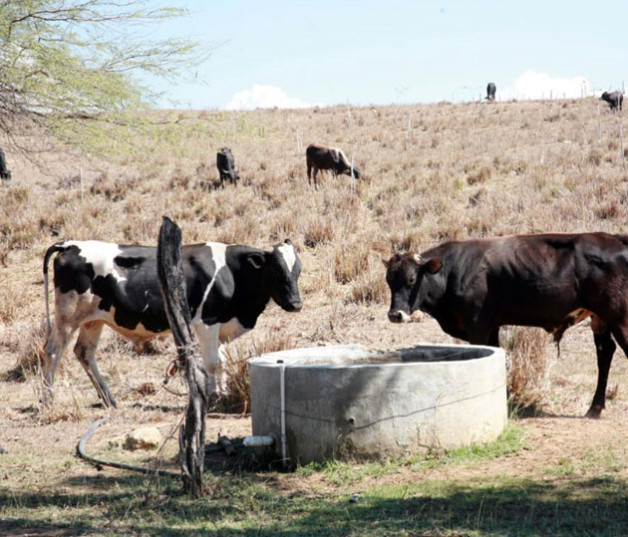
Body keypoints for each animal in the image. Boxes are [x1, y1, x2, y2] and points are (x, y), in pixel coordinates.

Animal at [41, 237, 302, 404]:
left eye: (297, 271)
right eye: (276, 271)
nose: (296, 303)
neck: (230, 272)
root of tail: (69, 244)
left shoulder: (220, 327)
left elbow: (222, 362)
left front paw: (223, 392)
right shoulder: (207, 322)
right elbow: (212, 363)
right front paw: (214, 396)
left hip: (92, 320)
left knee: (84, 352)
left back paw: (109, 398)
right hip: (67, 316)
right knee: (52, 351)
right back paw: (48, 400)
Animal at [382, 231, 628, 418]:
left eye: (411, 279)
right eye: (388, 281)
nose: (395, 314)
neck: (452, 272)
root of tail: (614, 238)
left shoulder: (478, 327)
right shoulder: (492, 326)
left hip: (619, 317)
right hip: (601, 318)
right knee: (605, 352)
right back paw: (594, 408)